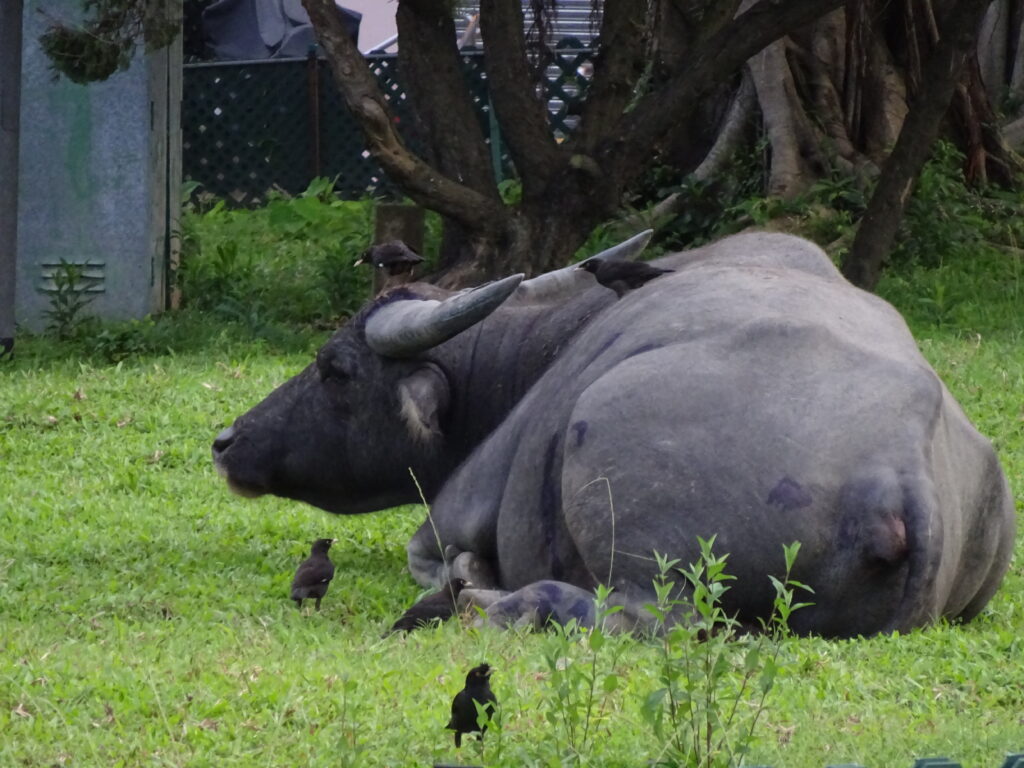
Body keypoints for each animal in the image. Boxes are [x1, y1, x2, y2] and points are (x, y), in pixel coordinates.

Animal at [212, 231, 1015, 637]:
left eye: (335, 366)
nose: (225, 441)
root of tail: (899, 474)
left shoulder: (452, 513)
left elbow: (432, 557)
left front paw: (467, 577)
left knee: (651, 618)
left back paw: (496, 602)